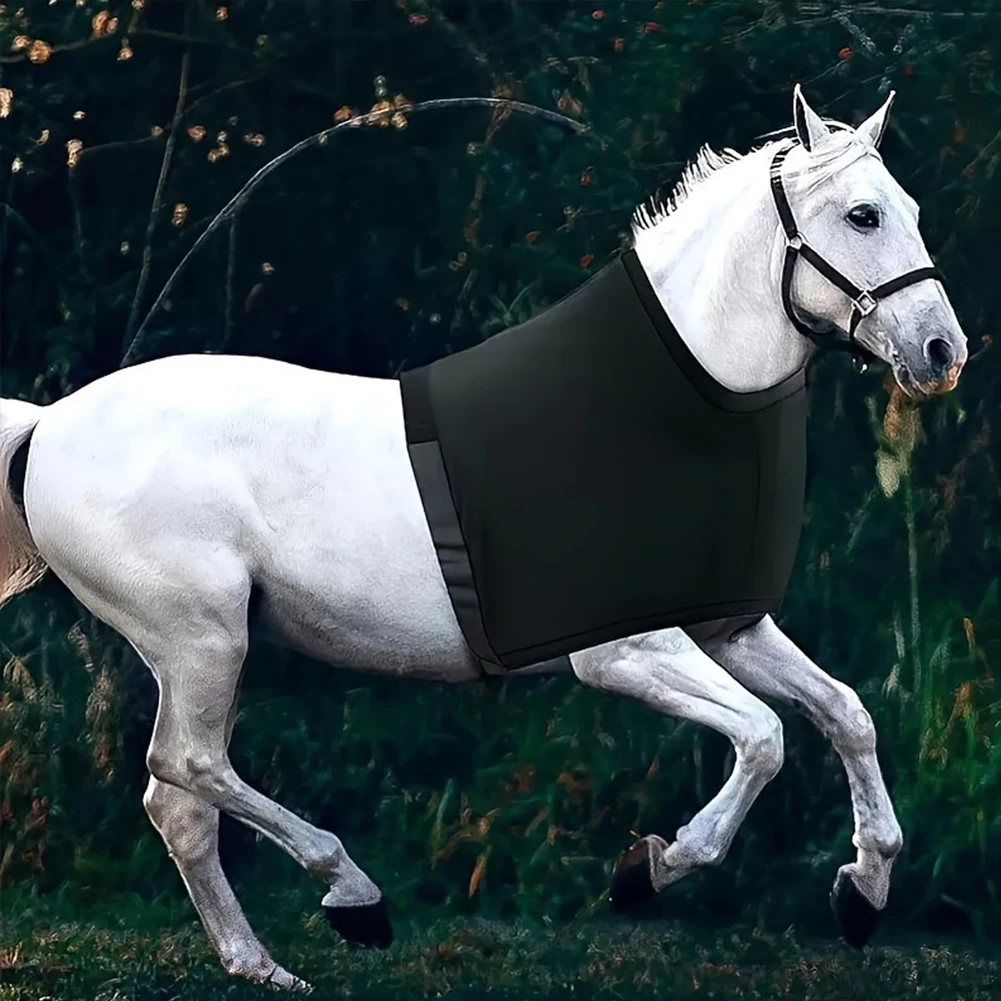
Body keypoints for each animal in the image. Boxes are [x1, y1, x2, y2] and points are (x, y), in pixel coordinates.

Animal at [0, 86, 967, 990]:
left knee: (179, 801)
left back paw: (261, 963)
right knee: (189, 764)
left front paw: (862, 889)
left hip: (204, 650)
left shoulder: (728, 628)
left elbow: (844, 713)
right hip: (201, 640)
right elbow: (764, 737)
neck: (663, 412)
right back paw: (352, 894)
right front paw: (649, 866)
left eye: (909, 207)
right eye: (862, 214)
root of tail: (49, 425)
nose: (941, 351)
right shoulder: (626, 653)